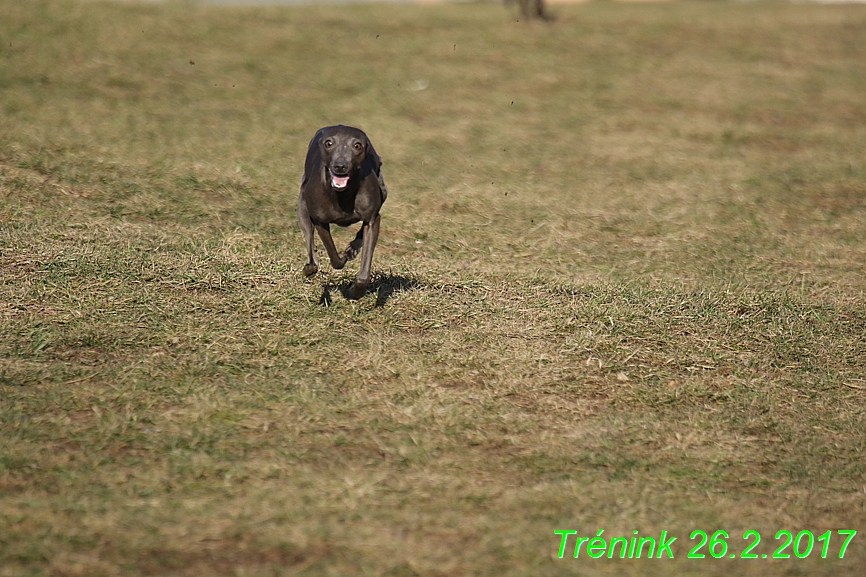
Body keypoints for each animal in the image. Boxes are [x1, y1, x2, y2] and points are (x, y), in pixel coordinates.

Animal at [300, 124, 388, 300]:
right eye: (328, 143)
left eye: (357, 145)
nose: (340, 166)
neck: (343, 194)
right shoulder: (320, 221)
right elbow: (334, 257)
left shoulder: (372, 220)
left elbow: (364, 271)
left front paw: (355, 292)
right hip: (303, 205)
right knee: (309, 241)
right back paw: (311, 267)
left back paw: (352, 249)